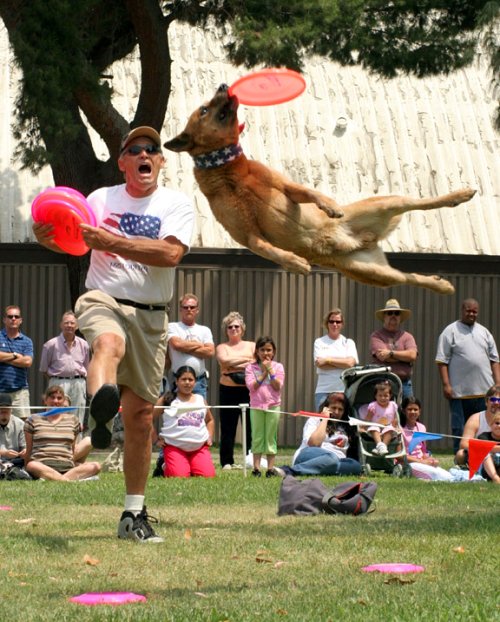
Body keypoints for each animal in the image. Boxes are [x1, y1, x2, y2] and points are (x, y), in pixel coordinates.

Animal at [165, 84, 476, 294]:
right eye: (204, 109)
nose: (222, 85)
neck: (228, 172)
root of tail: (362, 240)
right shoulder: (246, 235)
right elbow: (268, 249)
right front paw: (294, 262)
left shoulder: (285, 187)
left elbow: (310, 193)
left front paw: (330, 206)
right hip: (373, 273)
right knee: (409, 278)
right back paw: (441, 285)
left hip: (386, 205)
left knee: (420, 202)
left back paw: (459, 195)